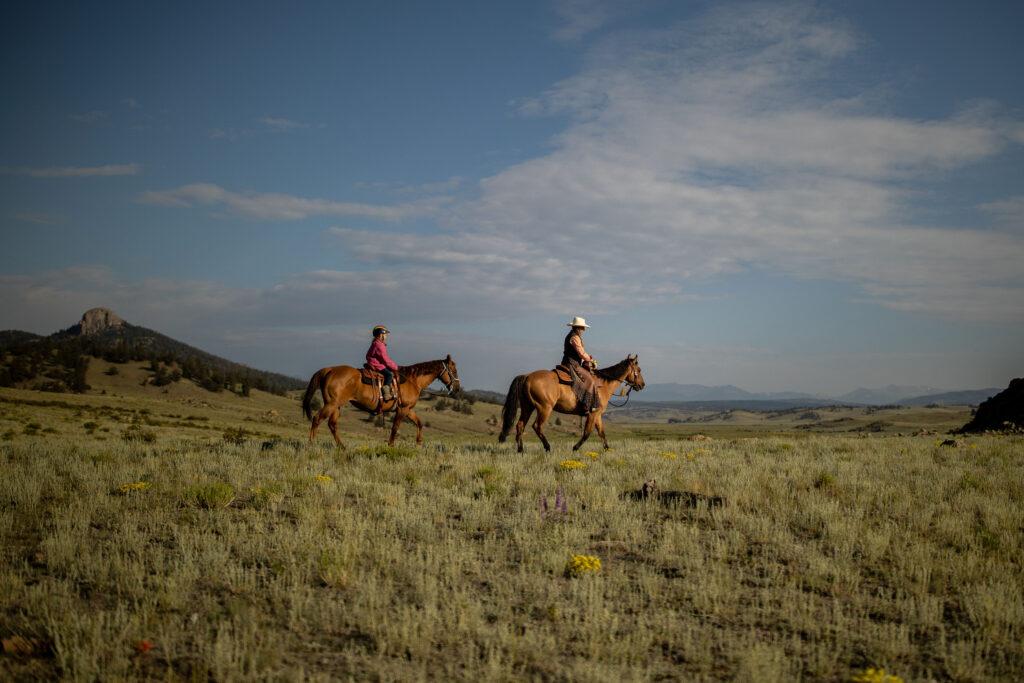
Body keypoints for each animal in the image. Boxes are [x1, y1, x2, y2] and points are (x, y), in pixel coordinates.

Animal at [299, 358, 460, 448]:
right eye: (453, 370)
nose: (457, 388)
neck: (412, 380)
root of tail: (330, 369)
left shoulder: (408, 409)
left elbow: (419, 423)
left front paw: (419, 442)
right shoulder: (402, 409)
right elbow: (395, 428)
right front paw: (391, 446)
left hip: (336, 406)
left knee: (332, 425)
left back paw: (342, 447)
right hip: (331, 404)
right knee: (316, 419)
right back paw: (311, 445)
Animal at [493, 358, 638, 454]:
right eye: (639, 370)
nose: (641, 385)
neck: (603, 385)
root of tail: (527, 376)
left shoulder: (597, 415)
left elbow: (601, 432)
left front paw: (608, 449)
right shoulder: (593, 414)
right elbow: (587, 433)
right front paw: (575, 448)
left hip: (527, 407)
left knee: (520, 426)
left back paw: (520, 450)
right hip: (544, 408)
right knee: (537, 426)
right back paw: (547, 447)